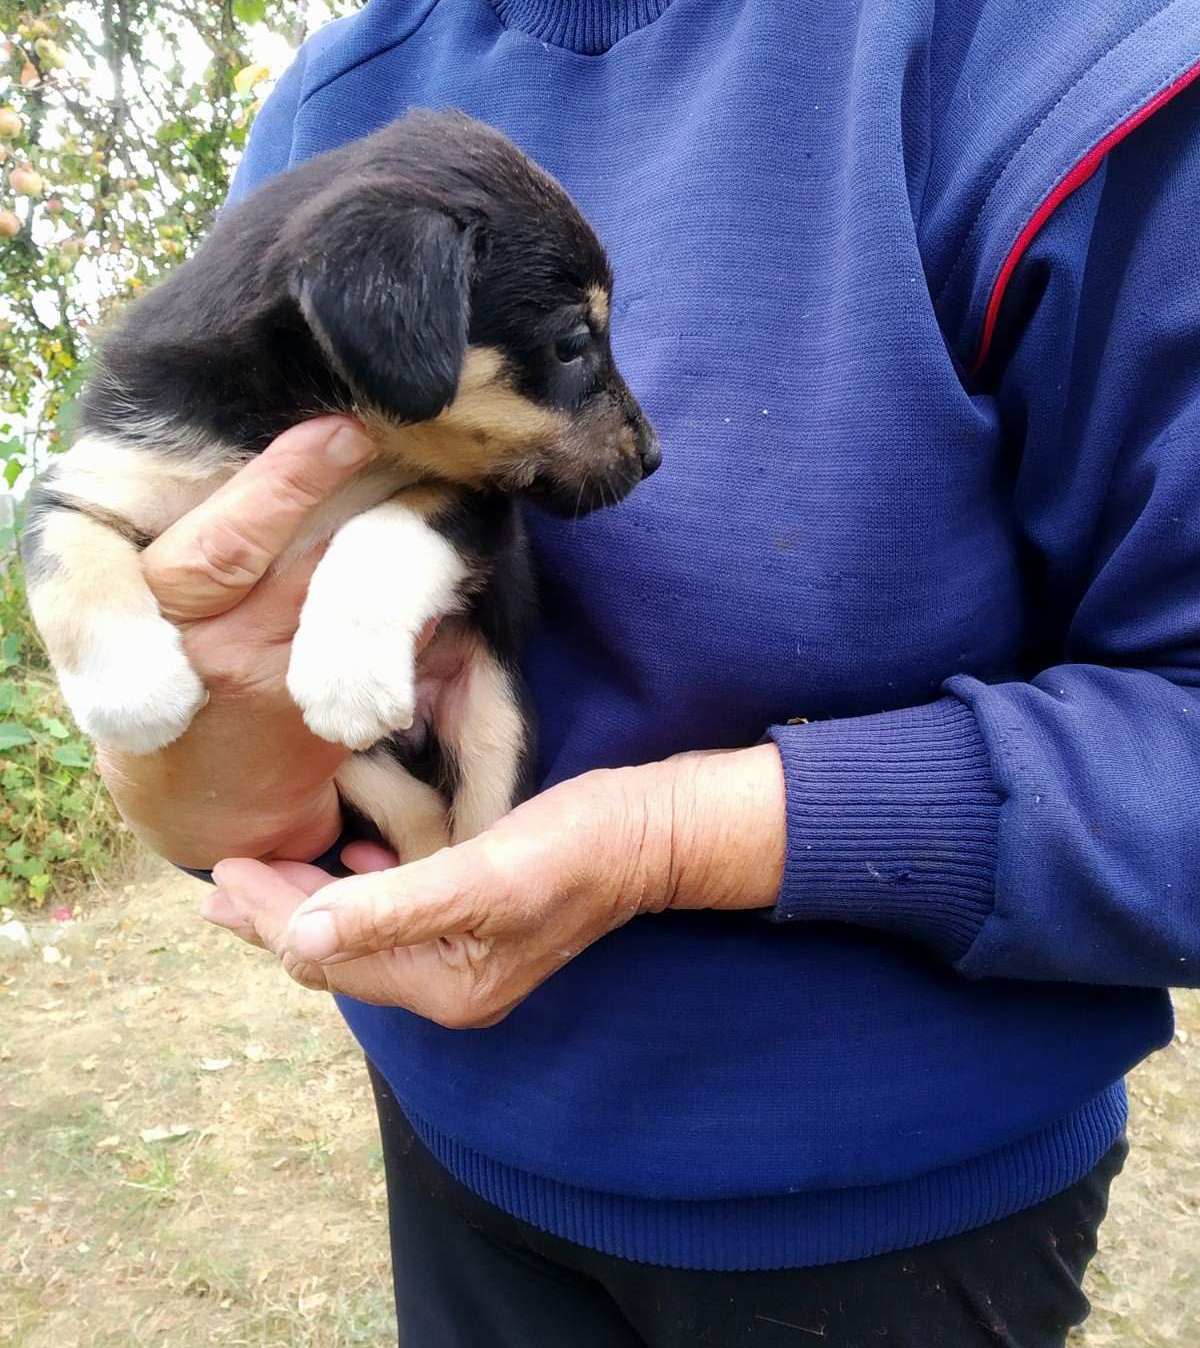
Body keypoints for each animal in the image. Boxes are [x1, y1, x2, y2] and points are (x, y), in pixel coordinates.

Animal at [21, 105, 655, 862]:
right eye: (572, 343)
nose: (652, 456)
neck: (302, 408)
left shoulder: (480, 501)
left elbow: (385, 527)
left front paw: (346, 673)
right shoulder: (94, 476)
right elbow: (65, 565)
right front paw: (135, 693)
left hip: (493, 718)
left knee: (471, 822)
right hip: (352, 767)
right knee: (413, 814)